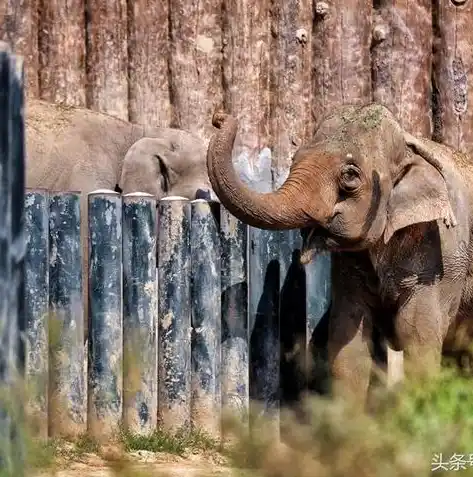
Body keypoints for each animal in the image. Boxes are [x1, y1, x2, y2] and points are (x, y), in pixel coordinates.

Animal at [206, 102, 473, 404]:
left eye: (350, 176)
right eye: (294, 158)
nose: (218, 116)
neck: (409, 144)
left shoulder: (439, 253)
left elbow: (417, 334)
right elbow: (348, 339)